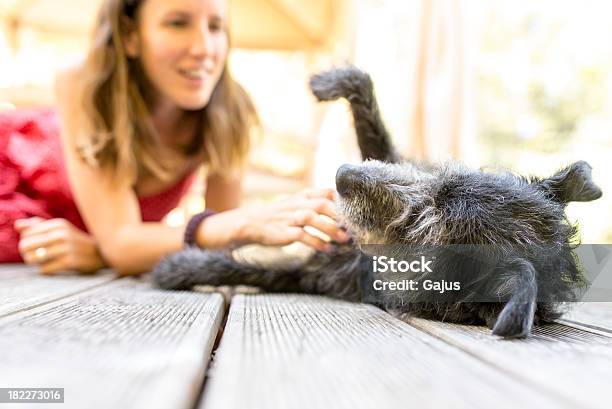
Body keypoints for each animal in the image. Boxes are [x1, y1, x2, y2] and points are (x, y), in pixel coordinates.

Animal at [153, 65, 604, 336]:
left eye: (424, 230)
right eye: (440, 174)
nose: (342, 175)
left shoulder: (310, 275)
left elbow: (246, 269)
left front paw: (178, 268)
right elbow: (366, 98)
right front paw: (331, 83)